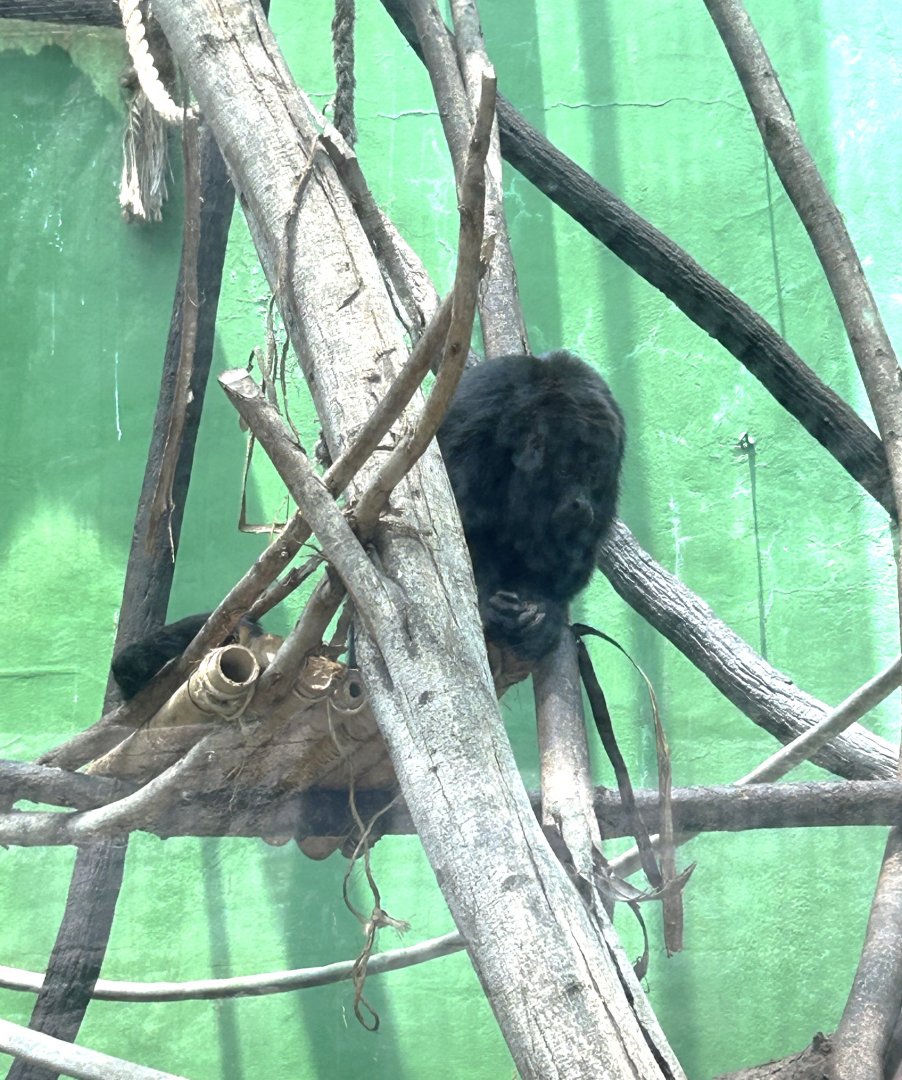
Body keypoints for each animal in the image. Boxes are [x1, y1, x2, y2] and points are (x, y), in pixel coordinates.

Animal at [436, 349, 624, 662]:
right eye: (564, 471)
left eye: (593, 475)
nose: (581, 504)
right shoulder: (475, 424)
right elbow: (463, 524)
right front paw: (488, 605)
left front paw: (544, 606)